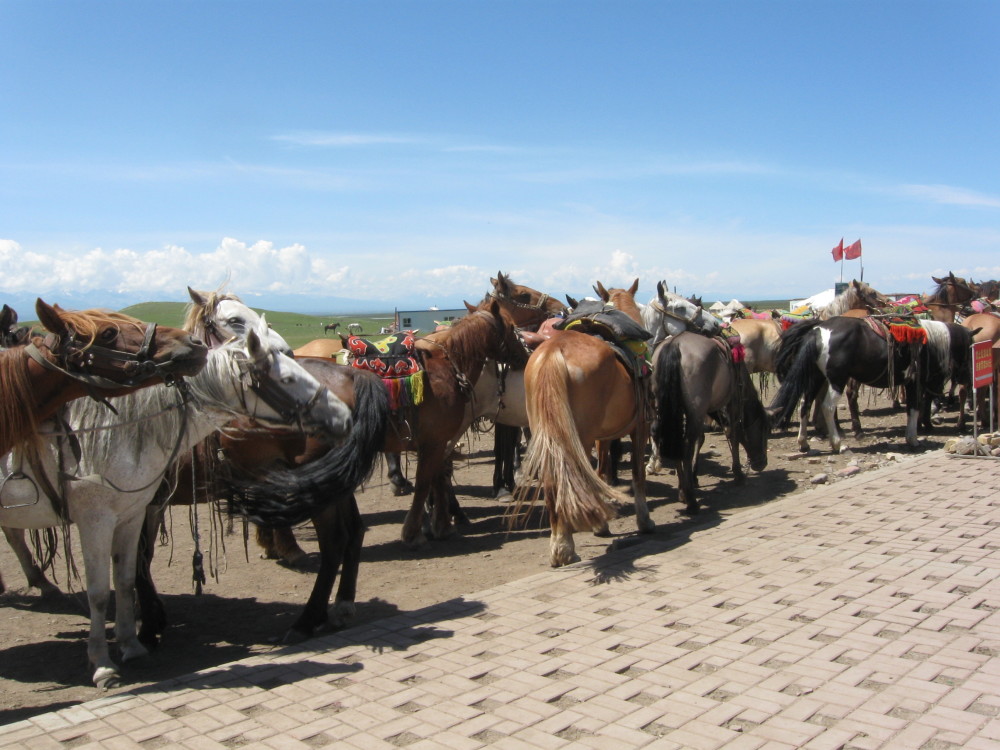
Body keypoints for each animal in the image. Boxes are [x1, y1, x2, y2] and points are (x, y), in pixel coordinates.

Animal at [0, 320, 352, 692]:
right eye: (286, 379)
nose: (343, 417)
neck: (119, 431)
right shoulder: (113, 514)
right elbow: (118, 580)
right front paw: (127, 643)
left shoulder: (124, 513)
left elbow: (124, 576)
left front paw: (132, 641)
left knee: (338, 541)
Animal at [508, 280, 656, 568]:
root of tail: (554, 352)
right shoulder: (640, 427)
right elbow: (637, 473)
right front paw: (643, 521)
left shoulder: (603, 436)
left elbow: (601, 471)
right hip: (578, 437)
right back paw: (566, 546)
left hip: (550, 434)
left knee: (554, 481)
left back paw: (559, 546)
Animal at [652, 332, 768, 516]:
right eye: (765, 430)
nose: (762, 463)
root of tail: (674, 344)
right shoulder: (733, 403)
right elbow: (733, 434)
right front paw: (738, 474)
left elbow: (701, 439)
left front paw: (693, 477)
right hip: (695, 410)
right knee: (686, 447)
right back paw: (691, 501)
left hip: (667, 408)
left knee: (674, 442)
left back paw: (682, 492)